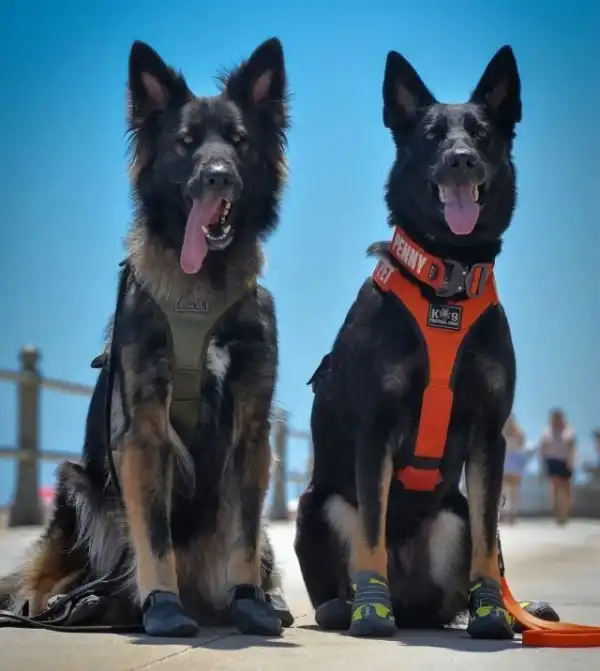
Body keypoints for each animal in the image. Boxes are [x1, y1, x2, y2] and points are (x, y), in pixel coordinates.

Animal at [0, 36, 293, 638]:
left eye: (238, 141)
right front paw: (162, 607)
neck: (201, 288)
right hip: (78, 485)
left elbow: (244, 533)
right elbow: (154, 535)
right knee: (47, 574)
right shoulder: (143, 431)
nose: (218, 175)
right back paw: (60, 605)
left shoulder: (251, 429)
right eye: (186, 142)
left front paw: (249, 601)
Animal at [294, 45, 558, 639]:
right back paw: (352, 606)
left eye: (480, 133)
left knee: (465, 569)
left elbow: (488, 541)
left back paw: (494, 611)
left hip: (451, 514)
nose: (460, 159)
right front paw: (371, 613)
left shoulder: (489, 436)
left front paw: (493, 612)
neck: (447, 283)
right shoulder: (375, 430)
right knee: (341, 572)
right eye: (433, 135)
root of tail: (410, 600)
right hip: (317, 505)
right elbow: (371, 530)